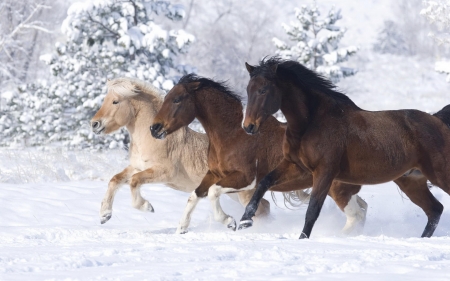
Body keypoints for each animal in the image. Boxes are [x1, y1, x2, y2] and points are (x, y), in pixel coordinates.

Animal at [90, 77, 274, 225]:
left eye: (115, 101)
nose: (94, 124)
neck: (153, 139)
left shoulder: (164, 172)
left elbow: (134, 181)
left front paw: (147, 207)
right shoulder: (137, 167)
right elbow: (115, 180)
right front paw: (104, 215)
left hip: (243, 192)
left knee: (262, 208)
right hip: (234, 192)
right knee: (264, 206)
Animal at [151, 74, 370, 234]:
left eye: (177, 99)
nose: (154, 128)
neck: (233, 135)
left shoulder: (246, 179)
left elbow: (213, 192)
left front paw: (230, 222)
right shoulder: (214, 174)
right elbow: (195, 195)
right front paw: (181, 228)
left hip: (336, 188)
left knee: (356, 215)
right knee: (362, 208)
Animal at [237, 57, 448, 238]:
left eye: (263, 90)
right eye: (248, 89)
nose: (248, 126)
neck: (312, 122)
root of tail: (438, 121)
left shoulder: (324, 172)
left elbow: (312, 211)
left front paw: (302, 239)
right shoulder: (295, 166)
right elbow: (263, 183)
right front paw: (244, 222)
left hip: (439, 174)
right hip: (411, 181)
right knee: (435, 210)